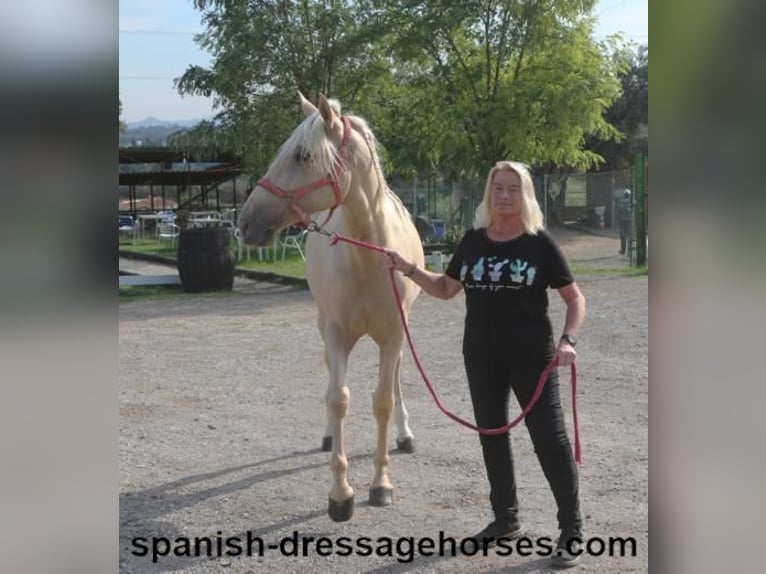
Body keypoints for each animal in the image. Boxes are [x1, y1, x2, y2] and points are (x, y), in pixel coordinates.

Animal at [238, 93, 426, 520]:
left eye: (303, 156)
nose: (246, 222)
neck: (370, 256)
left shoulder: (393, 333)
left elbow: (384, 400)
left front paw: (381, 484)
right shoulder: (338, 332)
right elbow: (338, 398)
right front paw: (341, 493)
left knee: (396, 378)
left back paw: (405, 434)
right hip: (324, 324)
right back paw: (327, 436)